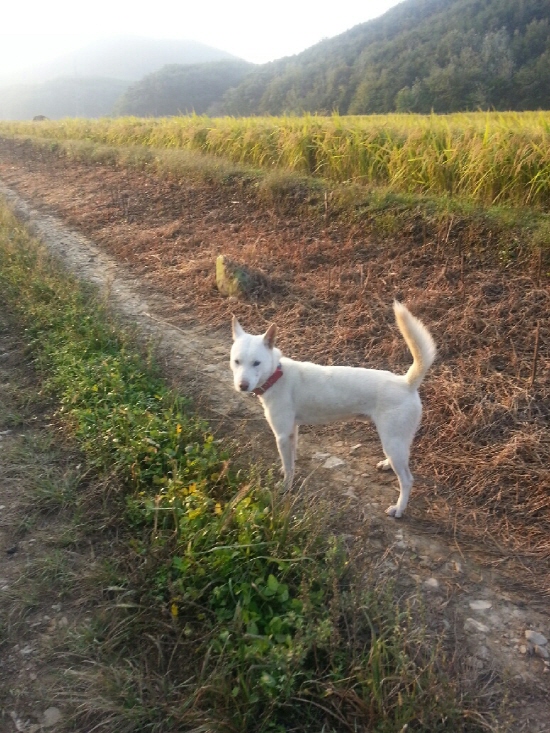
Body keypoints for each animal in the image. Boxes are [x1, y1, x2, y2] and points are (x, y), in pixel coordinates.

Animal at [231, 300, 438, 516]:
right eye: (236, 361)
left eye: (256, 363)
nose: (242, 386)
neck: (276, 375)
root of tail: (406, 383)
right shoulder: (291, 431)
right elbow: (291, 457)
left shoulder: (281, 435)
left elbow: (288, 467)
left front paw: (286, 486)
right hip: (397, 440)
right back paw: (388, 465)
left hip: (392, 441)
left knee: (407, 480)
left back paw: (399, 508)